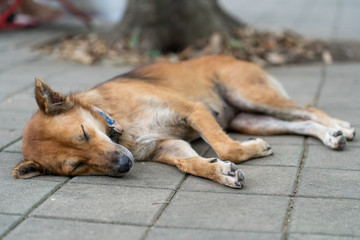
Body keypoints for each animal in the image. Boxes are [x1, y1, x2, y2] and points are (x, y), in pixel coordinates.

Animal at [12, 55, 356, 188]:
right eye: (76, 166)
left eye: (83, 133)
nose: (124, 165)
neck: (120, 127)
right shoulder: (168, 146)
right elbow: (191, 163)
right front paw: (219, 171)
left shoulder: (194, 110)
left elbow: (224, 146)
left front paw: (231, 158)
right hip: (250, 120)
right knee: (301, 124)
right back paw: (330, 135)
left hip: (250, 95)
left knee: (309, 110)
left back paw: (342, 127)